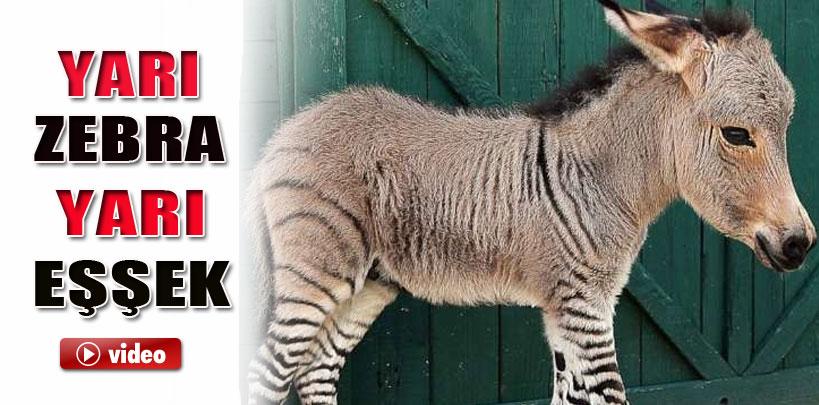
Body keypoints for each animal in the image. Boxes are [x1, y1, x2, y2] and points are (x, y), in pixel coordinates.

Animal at [247, 1, 816, 404]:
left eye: (786, 130)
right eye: (737, 135)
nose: (801, 245)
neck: (599, 178)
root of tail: (290, 128)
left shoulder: (569, 307)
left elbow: (571, 397)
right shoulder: (584, 303)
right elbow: (609, 396)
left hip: (368, 283)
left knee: (315, 373)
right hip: (317, 272)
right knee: (266, 375)